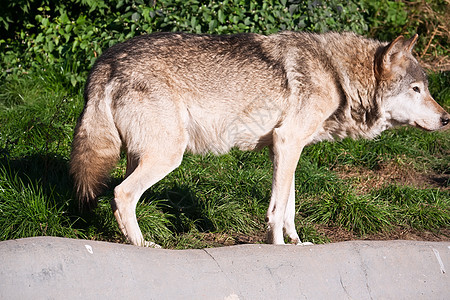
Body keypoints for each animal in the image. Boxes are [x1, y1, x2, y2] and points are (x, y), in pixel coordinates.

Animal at [68, 31, 448, 246]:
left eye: (426, 89)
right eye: (416, 89)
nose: (447, 118)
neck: (337, 74)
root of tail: (105, 61)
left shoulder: (286, 149)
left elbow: (290, 206)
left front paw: (297, 244)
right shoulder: (287, 141)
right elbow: (277, 210)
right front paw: (276, 247)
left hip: (140, 154)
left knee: (121, 196)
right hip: (168, 156)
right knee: (121, 194)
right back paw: (143, 246)